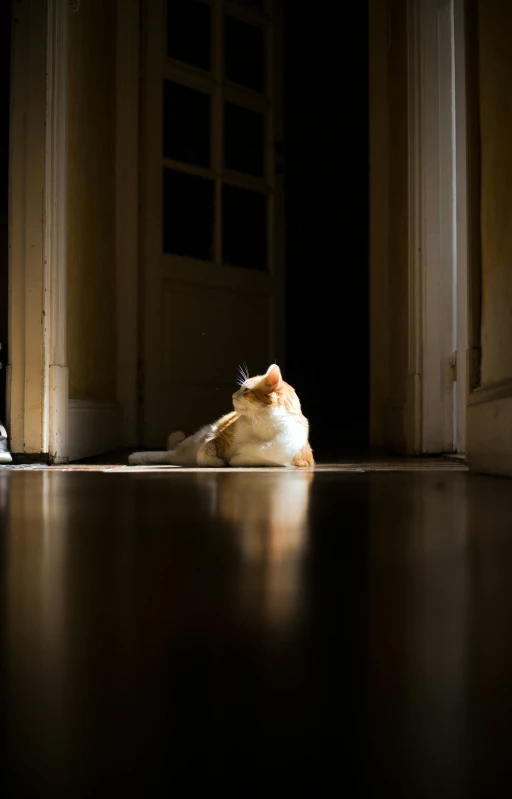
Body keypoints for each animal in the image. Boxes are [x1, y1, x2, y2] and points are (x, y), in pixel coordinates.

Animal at [128, 364, 312, 468]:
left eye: (245, 390)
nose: (232, 395)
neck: (261, 425)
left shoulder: (287, 458)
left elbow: (247, 458)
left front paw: (233, 459)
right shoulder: (219, 437)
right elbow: (204, 453)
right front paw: (217, 462)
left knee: (171, 455)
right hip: (197, 437)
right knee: (171, 451)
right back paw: (135, 457)